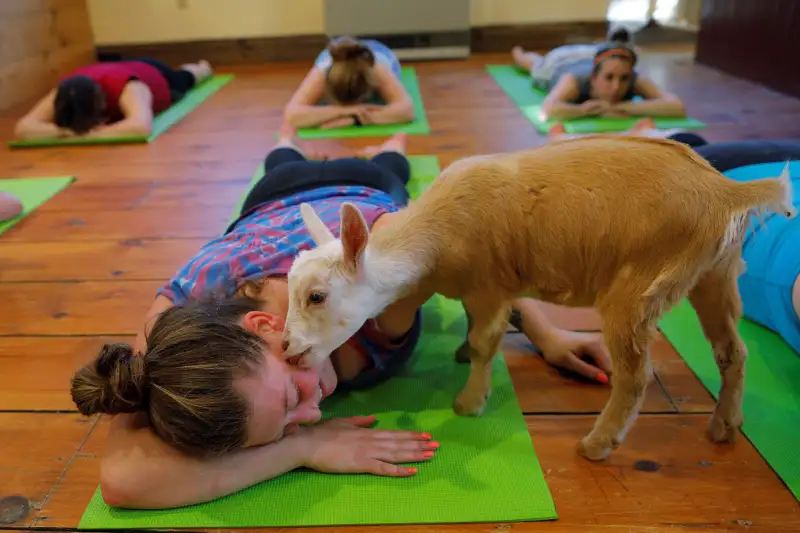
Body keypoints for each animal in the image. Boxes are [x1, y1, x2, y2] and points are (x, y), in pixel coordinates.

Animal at [282, 135, 792, 460]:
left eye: (317, 296)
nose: (286, 350)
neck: (434, 238)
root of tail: (727, 192)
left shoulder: (490, 285)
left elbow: (487, 341)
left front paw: (470, 402)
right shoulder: (479, 289)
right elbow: (473, 329)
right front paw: (462, 354)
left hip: (637, 291)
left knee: (635, 376)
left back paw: (597, 445)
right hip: (714, 274)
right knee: (733, 352)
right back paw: (724, 427)